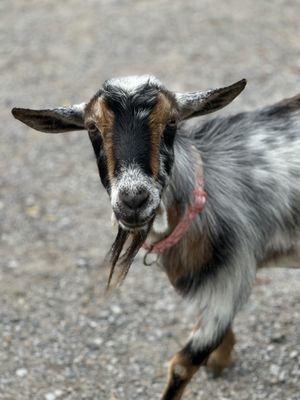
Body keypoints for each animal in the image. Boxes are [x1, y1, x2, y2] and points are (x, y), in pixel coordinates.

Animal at [11, 76, 300, 400]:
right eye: (92, 127)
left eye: (172, 121)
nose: (133, 199)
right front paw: (221, 360)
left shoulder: (233, 274)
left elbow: (182, 365)